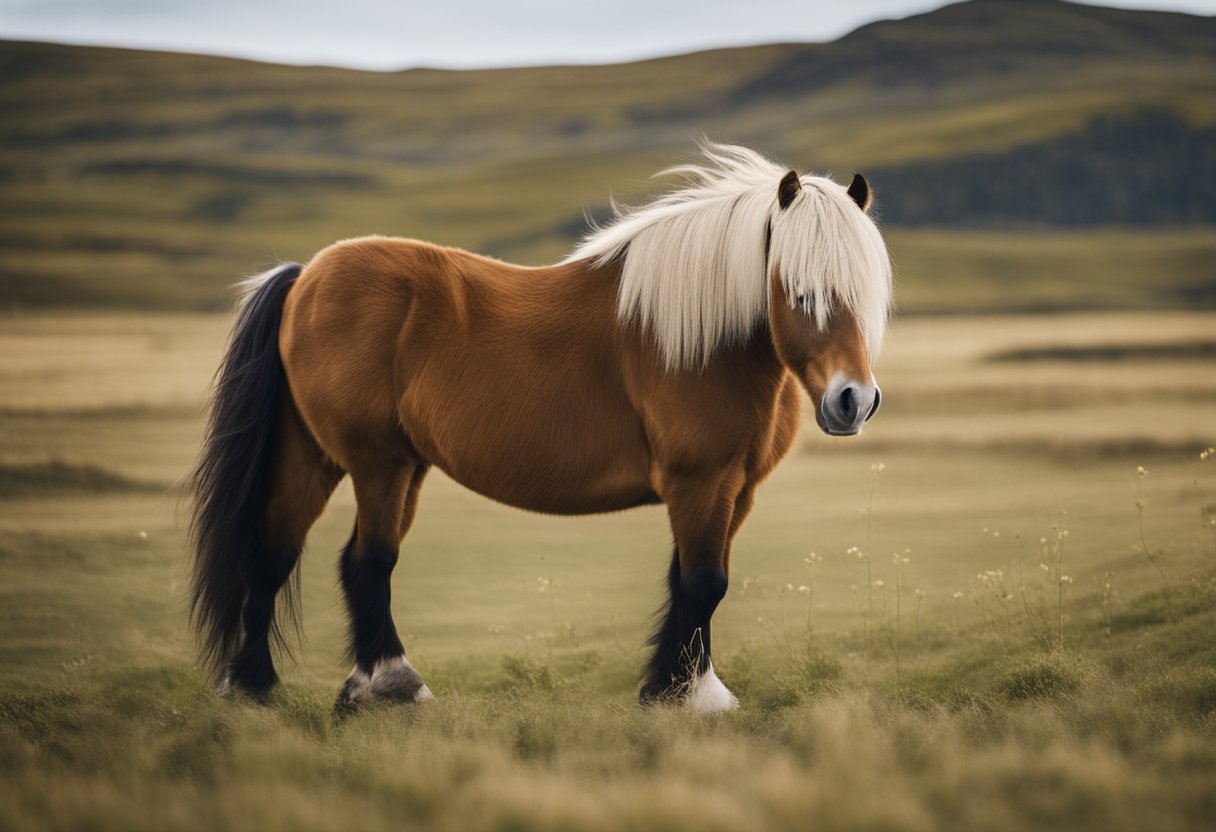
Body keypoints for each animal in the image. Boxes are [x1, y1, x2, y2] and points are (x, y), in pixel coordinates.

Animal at [189, 144, 894, 715]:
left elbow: (691, 582)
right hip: (376, 463)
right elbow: (704, 582)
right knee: (367, 561)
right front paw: (689, 698)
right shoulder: (701, 481)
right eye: (801, 292)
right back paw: (392, 685)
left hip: (328, 456)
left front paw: (669, 686)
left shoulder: (735, 488)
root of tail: (305, 276)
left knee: (275, 552)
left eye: (866, 295)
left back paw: (254, 685)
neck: (704, 340)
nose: (852, 401)